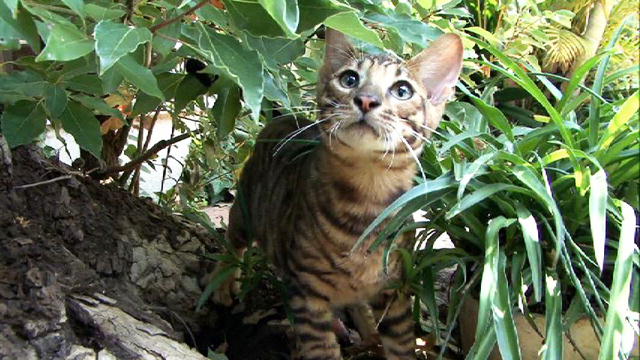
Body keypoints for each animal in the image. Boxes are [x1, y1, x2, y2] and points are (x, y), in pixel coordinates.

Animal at [214, 28, 460, 360]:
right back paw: (224, 282)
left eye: (402, 90)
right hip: (246, 207)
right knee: (233, 239)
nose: (366, 99)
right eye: (349, 79)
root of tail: (284, 117)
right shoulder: (308, 295)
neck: (367, 197)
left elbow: (402, 346)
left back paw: (367, 330)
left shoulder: (394, 292)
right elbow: (322, 351)